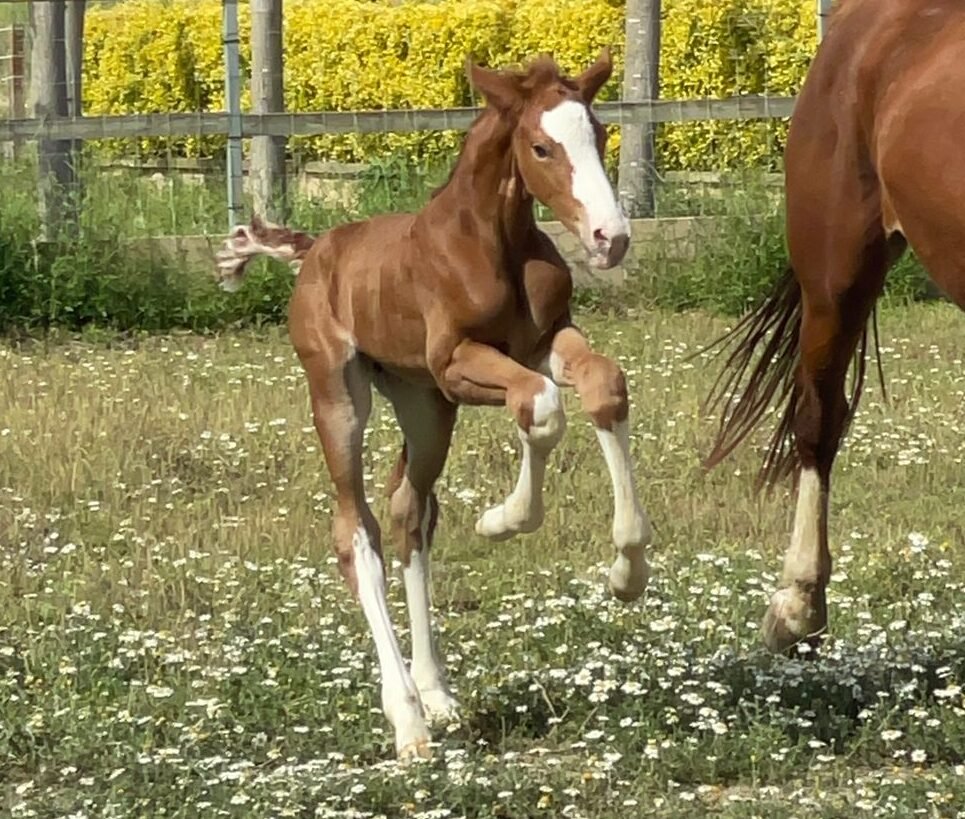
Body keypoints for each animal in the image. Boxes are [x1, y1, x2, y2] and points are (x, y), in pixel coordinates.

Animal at [211, 52, 648, 764]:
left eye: (601, 134)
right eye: (541, 146)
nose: (610, 238)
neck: (494, 242)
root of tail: (316, 250)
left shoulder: (543, 341)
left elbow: (600, 388)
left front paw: (628, 572)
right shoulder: (457, 363)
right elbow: (541, 406)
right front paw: (503, 520)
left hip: (424, 406)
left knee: (408, 513)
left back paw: (437, 694)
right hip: (340, 394)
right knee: (356, 532)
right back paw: (408, 719)